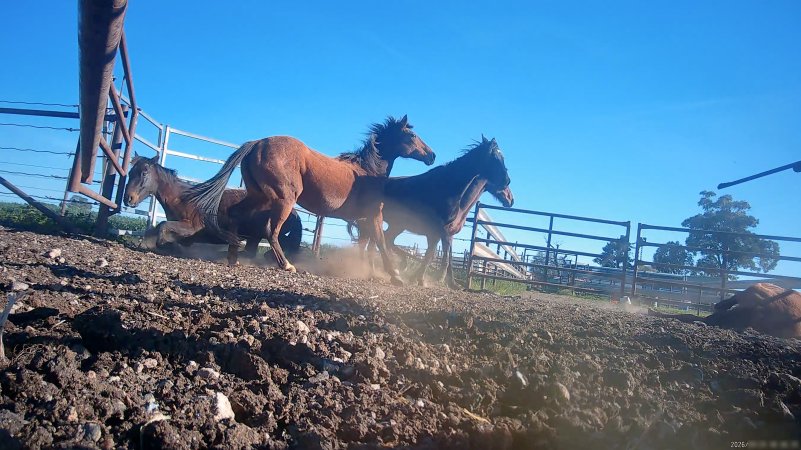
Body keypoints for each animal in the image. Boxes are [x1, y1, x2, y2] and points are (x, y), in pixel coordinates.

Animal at [123, 154, 303, 259]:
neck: (182, 198)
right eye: (131, 172)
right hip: (256, 236)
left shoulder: (191, 227)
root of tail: (294, 212)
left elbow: (163, 226)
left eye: (144, 173)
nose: (128, 199)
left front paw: (164, 244)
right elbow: (156, 229)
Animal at [186, 115, 435, 285]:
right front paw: (395, 276)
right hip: (282, 200)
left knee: (238, 214)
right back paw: (286, 265)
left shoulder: (364, 221)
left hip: (260, 197)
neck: (368, 171)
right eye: (412, 135)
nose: (432, 155)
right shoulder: (374, 216)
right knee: (271, 231)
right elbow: (380, 243)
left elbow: (368, 245)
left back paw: (233, 258)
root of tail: (258, 143)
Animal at [349, 136, 512, 288]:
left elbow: (436, 255)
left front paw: (432, 280)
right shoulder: (439, 231)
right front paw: (432, 278)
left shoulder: (441, 233)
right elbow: (436, 256)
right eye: (494, 157)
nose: (507, 183)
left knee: (378, 241)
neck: (448, 187)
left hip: (393, 224)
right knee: (373, 243)